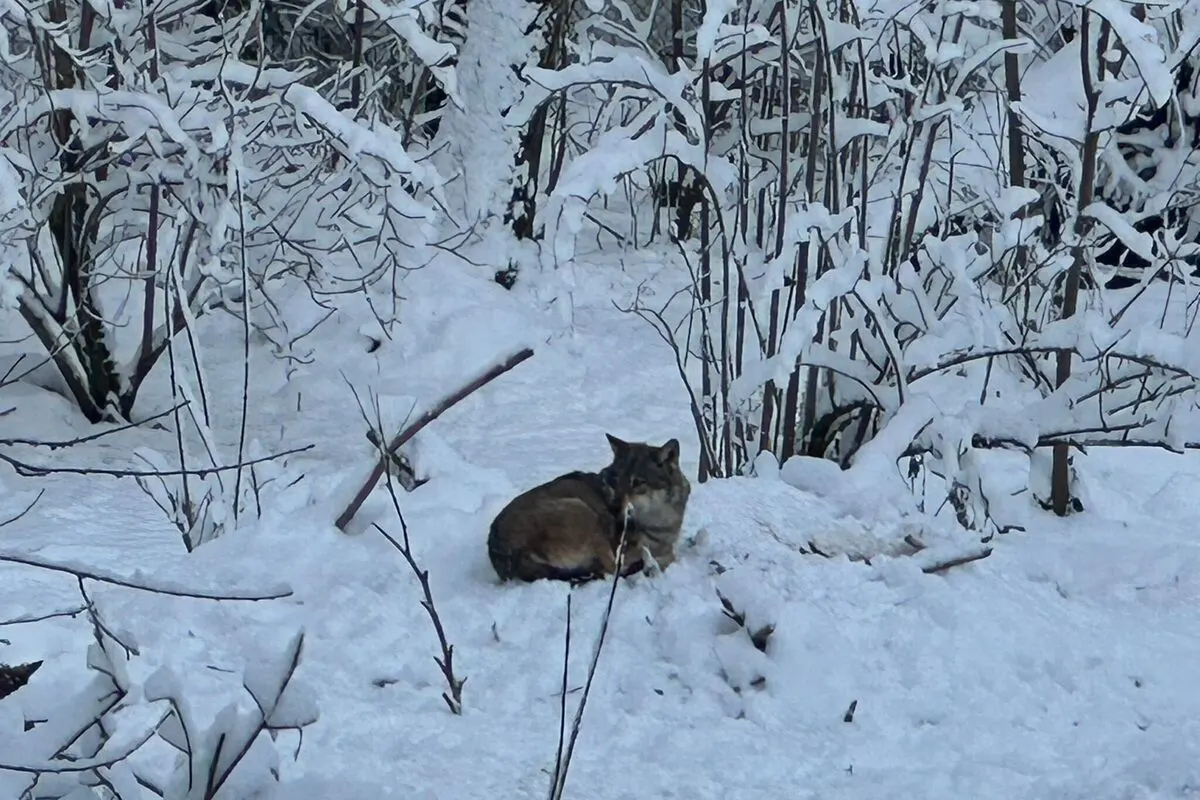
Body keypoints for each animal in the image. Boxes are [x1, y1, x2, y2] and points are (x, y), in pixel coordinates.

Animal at [487, 434, 691, 583]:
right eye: (616, 479)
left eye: (637, 483)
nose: (613, 508)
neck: (660, 523)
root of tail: (502, 550)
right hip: (583, 512)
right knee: (611, 571)